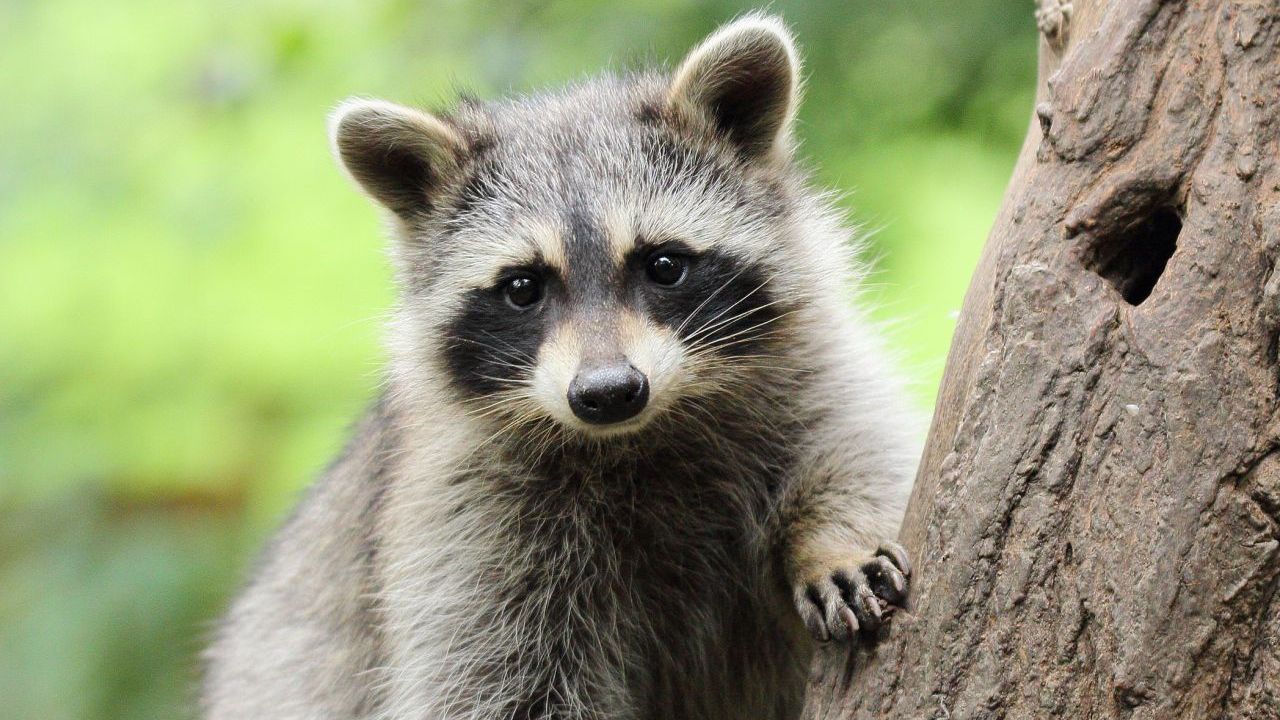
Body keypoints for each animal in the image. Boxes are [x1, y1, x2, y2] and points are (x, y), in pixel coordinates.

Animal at [202, 12, 921, 717]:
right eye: (523, 287)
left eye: (664, 264)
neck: (640, 435)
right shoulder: (467, 517)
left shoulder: (812, 369)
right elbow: (498, 680)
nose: (609, 392)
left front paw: (833, 538)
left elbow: (857, 449)